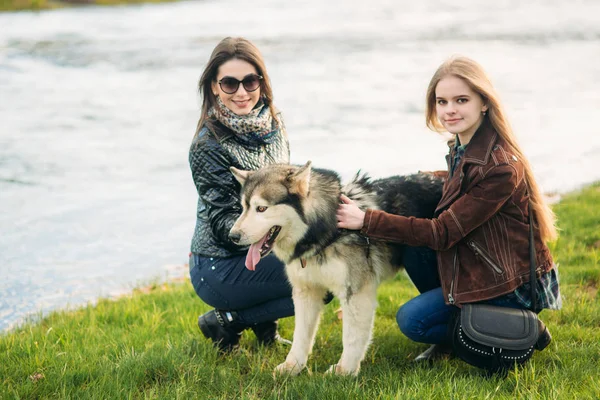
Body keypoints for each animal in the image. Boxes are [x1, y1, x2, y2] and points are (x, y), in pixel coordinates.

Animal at [227, 161, 442, 376]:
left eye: (261, 208)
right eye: (244, 207)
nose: (232, 237)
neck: (325, 231)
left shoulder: (356, 293)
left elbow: (351, 337)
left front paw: (344, 371)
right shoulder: (306, 292)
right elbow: (300, 335)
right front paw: (293, 366)